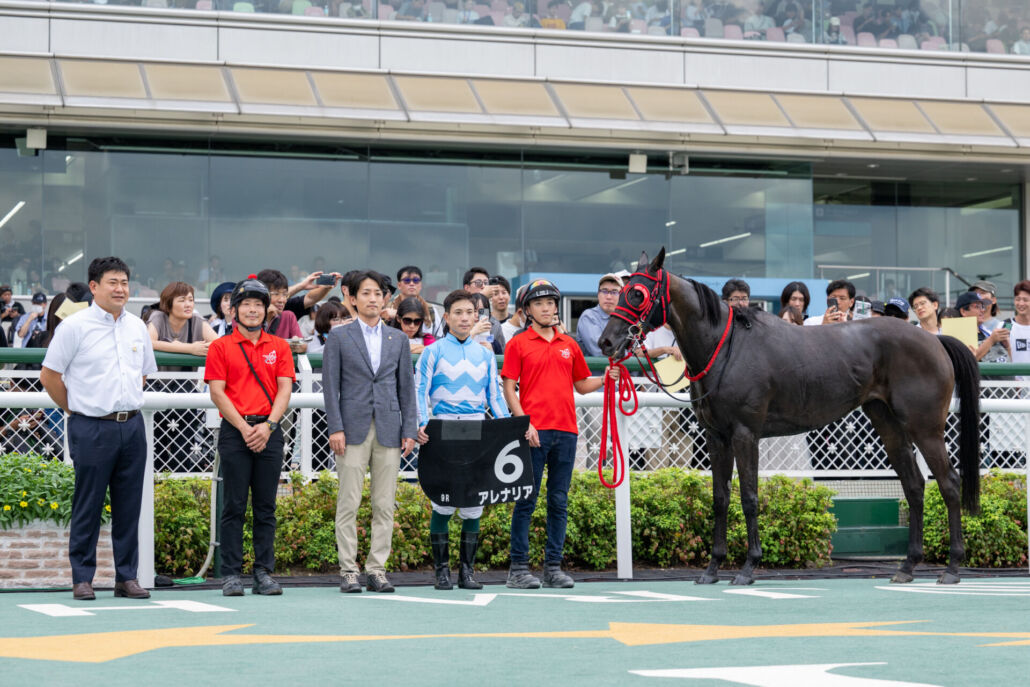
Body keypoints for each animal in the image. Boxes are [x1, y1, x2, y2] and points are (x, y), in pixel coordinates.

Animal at [598, 248, 981, 586]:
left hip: (925, 427)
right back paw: (907, 566)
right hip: (888, 423)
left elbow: (749, 498)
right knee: (914, 486)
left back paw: (952, 567)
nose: (606, 342)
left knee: (948, 484)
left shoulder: (744, 434)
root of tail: (934, 340)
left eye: (636, 294)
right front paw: (712, 569)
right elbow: (720, 499)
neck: (726, 348)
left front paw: (748, 567)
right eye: (619, 292)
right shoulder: (716, 437)